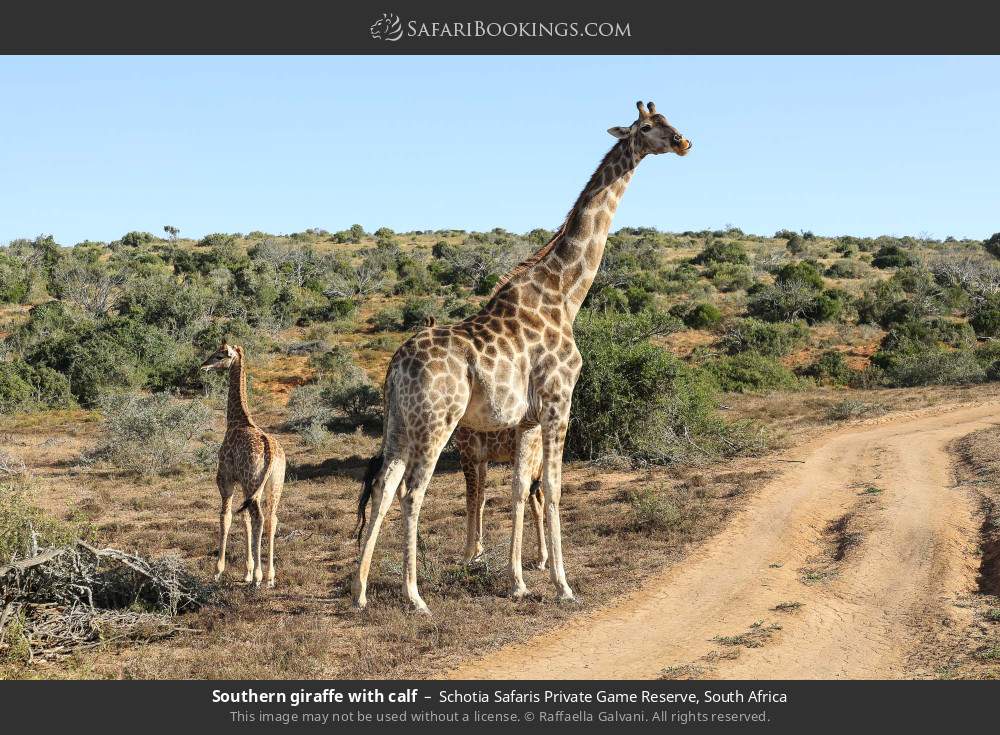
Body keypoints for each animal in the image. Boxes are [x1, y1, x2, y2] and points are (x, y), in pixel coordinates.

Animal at [200, 342, 287, 588]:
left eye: (219, 355)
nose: (203, 366)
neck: (237, 420)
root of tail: (270, 452)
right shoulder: (242, 484)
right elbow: (244, 519)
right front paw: (247, 571)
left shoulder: (226, 480)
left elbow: (226, 517)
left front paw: (218, 571)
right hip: (273, 485)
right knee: (271, 519)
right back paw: (270, 576)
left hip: (252, 482)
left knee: (260, 518)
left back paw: (259, 577)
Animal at [454, 426, 546, 570]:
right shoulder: (482, 459)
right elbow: (480, 500)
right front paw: (478, 551)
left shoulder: (467, 453)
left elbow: (470, 502)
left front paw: (466, 556)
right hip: (538, 463)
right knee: (541, 499)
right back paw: (544, 558)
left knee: (534, 504)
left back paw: (540, 559)